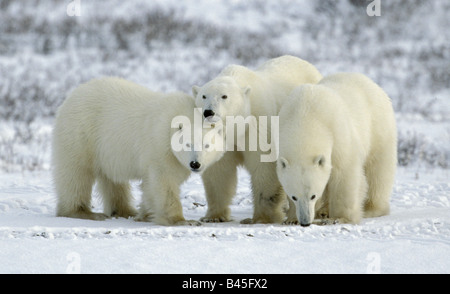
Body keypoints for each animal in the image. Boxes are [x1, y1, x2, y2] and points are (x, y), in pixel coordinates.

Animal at [52, 77, 225, 226]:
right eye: (188, 144)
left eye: (207, 145)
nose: (195, 164)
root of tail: (72, 95)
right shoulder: (160, 144)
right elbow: (164, 180)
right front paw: (182, 221)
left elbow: (150, 185)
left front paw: (145, 215)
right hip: (81, 133)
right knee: (76, 173)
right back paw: (83, 212)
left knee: (112, 179)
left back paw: (125, 211)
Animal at [192, 55, 322, 223]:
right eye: (203, 96)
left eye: (224, 96)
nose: (208, 112)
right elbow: (219, 171)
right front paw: (213, 216)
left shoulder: (260, 123)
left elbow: (264, 167)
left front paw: (261, 217)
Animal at [278, 72, 398, 226]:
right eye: (294, 197)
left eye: (313, 196)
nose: (305, 222)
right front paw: (291, 219)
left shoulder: (338, 134)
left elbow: (344, 173)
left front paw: (339, 218)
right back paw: (323, 211)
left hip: (378, 127)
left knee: (378, 170)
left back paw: (371, 208)